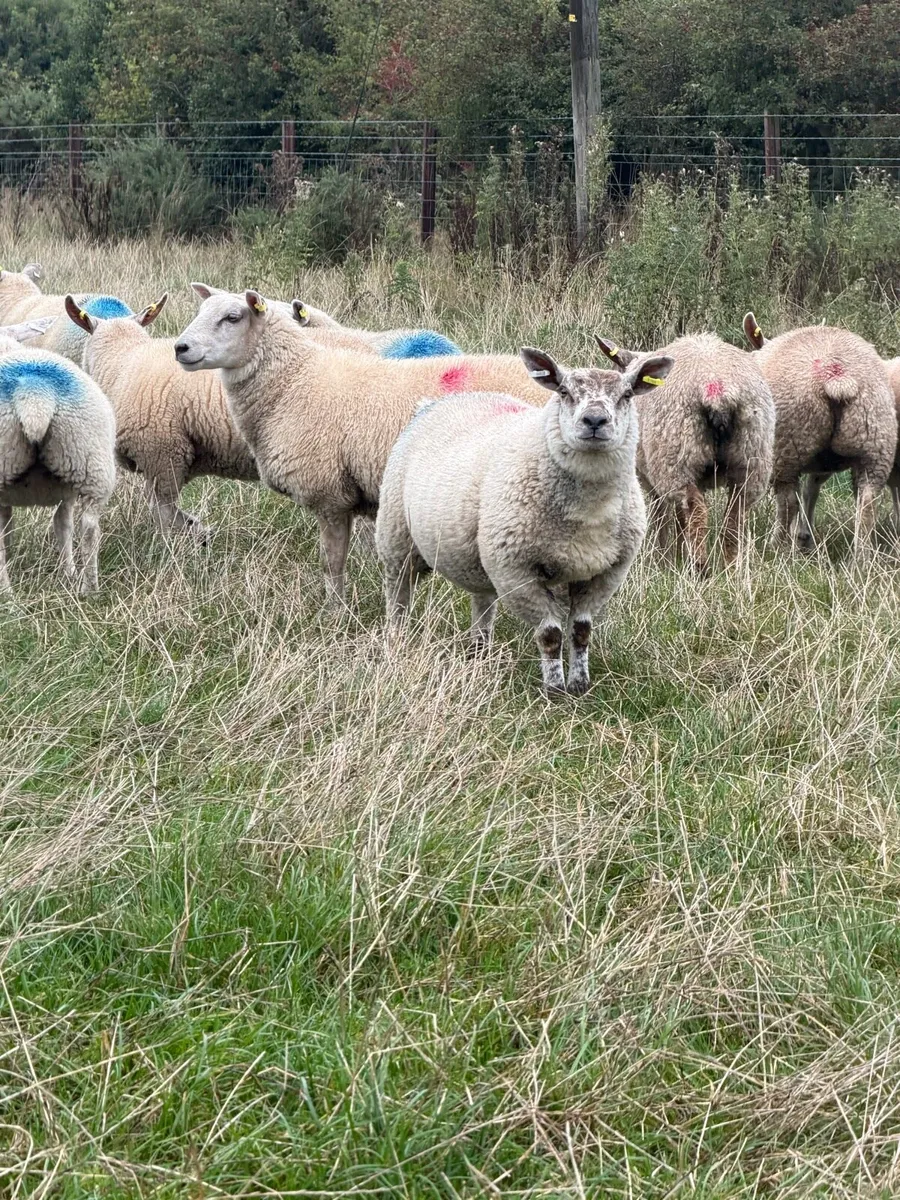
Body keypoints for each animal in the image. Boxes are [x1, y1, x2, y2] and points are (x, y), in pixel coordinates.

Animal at [0, 337, 116, 592]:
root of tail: (34, 395)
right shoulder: (66, 491)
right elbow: (63, 525)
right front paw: (68, 573)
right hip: (89, 460)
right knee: (89, 529)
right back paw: (88, 589)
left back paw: (7, 592)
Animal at [173, 287, 550, 599]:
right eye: (201, 310)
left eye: (232, 317)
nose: (180, 347)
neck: (293, 382)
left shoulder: (329, 495)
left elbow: (332, 563)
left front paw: (334, 615)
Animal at [375, 347, 673, 694]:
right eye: (564, 392)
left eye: (626, 395)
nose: (595, 421)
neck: (588, 513)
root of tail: (433, 404)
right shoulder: (516, 571)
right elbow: (550, 634)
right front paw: (555, 690)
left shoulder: (607, 573)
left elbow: (581, 631)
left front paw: (579, 684)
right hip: (396, 536)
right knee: (398, 598)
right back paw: (397, 643)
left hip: (481, 555)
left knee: (482, 601)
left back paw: (480, 652)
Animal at [595, 333, 775, 571]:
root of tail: (718, 389)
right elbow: (680, 520)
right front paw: (678, 555)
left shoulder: (653, 480)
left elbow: (662, 518)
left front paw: (663, 560)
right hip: (751, 456)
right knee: (734, 515)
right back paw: (730, 568)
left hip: (676, 455)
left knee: (697, 509)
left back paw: (700, 567)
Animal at [743, 313, 897, 555]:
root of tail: (836, 375)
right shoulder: (823, 463)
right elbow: (810, 490)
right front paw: (804, 537)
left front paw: (800, 538)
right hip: (875, 441)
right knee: (867, 501)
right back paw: (861, 556)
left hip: (787, 442)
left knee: (787, 502)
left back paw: (774, 546)